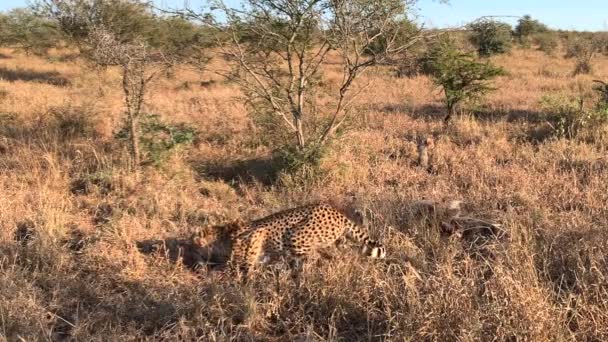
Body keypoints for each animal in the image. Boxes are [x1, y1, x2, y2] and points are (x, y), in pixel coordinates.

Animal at [195, 203, 384, 276]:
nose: (194, 247)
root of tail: (334, 211)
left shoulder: (254, 239)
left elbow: (241, 269)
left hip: (296, 237)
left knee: (313, 257)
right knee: (333, 254)